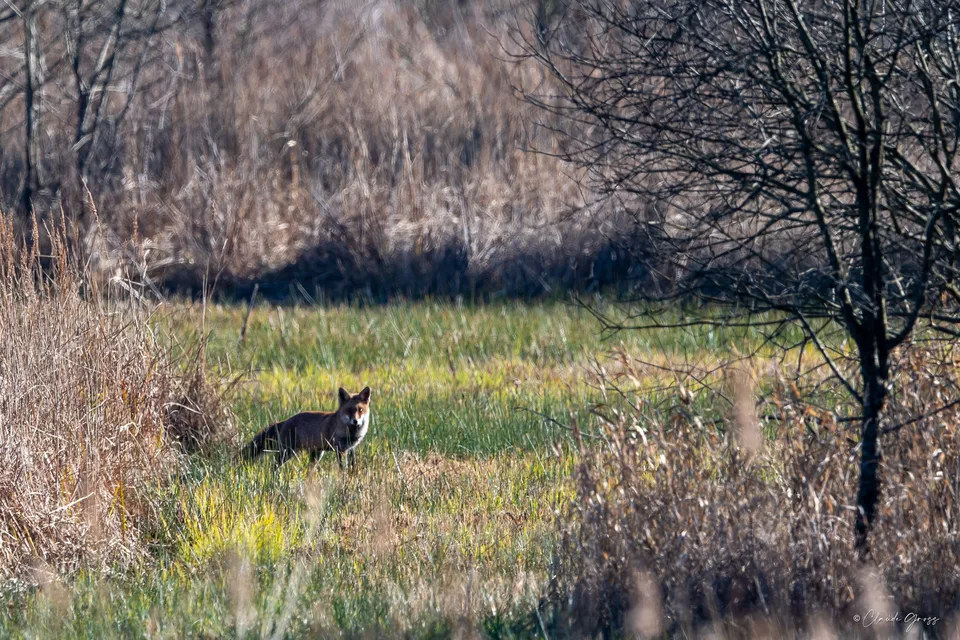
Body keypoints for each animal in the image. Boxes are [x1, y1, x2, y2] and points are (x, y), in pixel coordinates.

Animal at [241, 386, 371, 469]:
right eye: (349, 410)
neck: (352, 433)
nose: (355, 421)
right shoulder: (340, 449)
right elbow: (342, 468)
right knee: (273, 467)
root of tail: (285, 420)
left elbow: (353, 465)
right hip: (287, 452)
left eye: (360, 410)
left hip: (316, 455)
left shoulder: (351, 448)